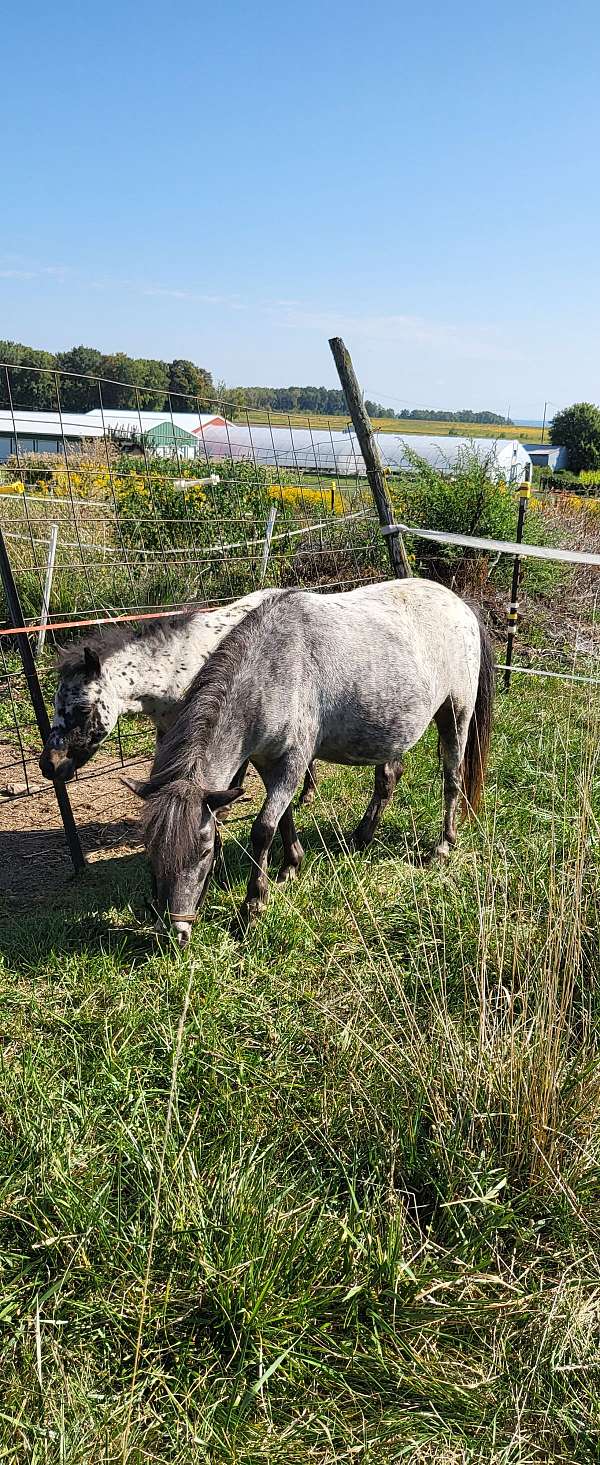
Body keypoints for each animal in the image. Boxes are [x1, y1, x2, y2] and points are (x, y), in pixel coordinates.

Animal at [38, 588, 318, 803]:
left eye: (83, 708)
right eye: (55, 703)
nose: (49, 765)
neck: (171, 668)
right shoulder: (167, 731)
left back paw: (307, 793)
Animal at [125, 579, 495, 946]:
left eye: (204, 851)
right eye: (152, 852)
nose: (175, 933)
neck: (271, 672)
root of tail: (462, 606)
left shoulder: (293, 761)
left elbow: (263, 829)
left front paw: (253, 907)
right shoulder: (267, 761)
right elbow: (283, 817)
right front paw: (291, 865)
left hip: (456, 714)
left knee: (452, 778)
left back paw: (443, 846)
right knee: (388, 779)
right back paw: (362, 836)